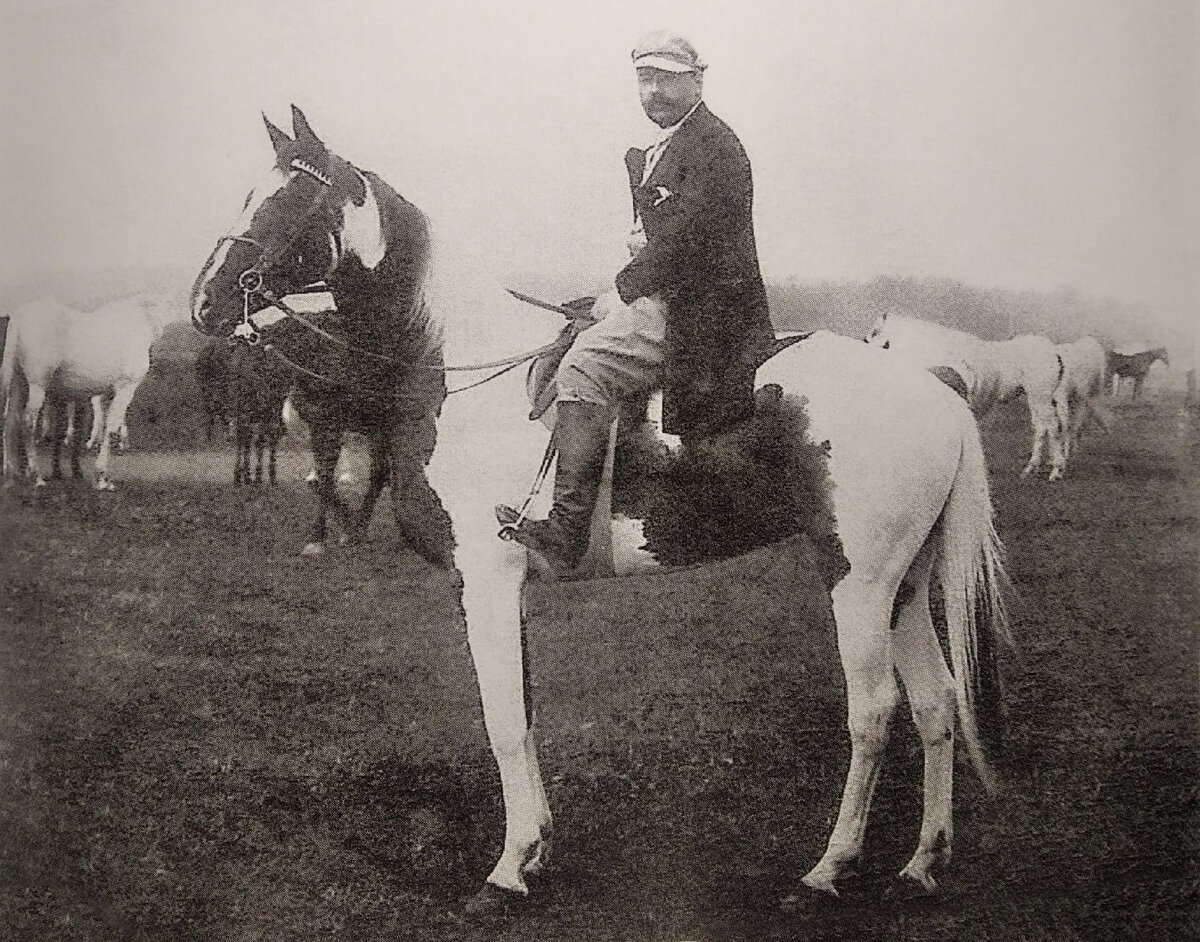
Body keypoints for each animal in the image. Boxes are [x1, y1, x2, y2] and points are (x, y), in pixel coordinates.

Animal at [0, 295, 182, 489]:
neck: (141, 319)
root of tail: (19, 318)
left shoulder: (107, 393)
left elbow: (103, 425)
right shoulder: (125, 387)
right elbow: (111, 427)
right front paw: (102, 478)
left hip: (19, 383)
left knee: (10, 421)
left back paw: (12, 472)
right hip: (37, 385)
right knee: (27, 422)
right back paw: (36, 476)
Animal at [190, 107, 1011, 913]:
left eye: (288, 202)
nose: (204, 302)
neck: (456, 368)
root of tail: (938, 389)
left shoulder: (487, 580)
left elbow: (503, 723)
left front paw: (507, 869)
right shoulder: (503, 589)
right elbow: (523, 713)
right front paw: (537, 850)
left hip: (859, 583)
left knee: (874, 712)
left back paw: (828, 869)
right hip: (903, 586)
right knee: (937, 704)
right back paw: (921, 864)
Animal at [865, 312, 1067, 481]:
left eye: (873, 334)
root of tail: (1053, 351)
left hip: (1040, 397)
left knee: (1053, 427)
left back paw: (1056, 470)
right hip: (1037, 399)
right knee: (1042, 428)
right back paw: (1031, 469)